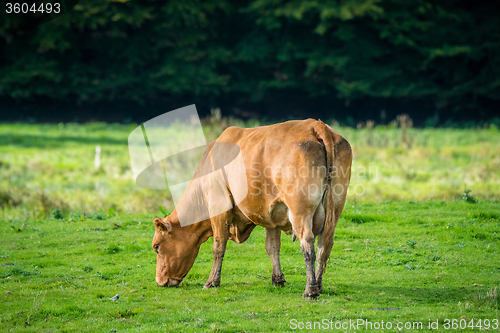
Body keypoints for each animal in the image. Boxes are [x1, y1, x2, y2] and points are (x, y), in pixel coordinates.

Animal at [152, 118, 352, 296]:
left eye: (156, 246)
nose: (159, 281)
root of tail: (316, 125)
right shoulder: (273, 214)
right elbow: (272, 247)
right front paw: (278, 279)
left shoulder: (218, 206)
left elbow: (218, 246)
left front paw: (212, 282)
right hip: (335, 208)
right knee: (324, 245)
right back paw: (318, 285)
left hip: (300, 210)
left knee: (308, 243)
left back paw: (310, 290)